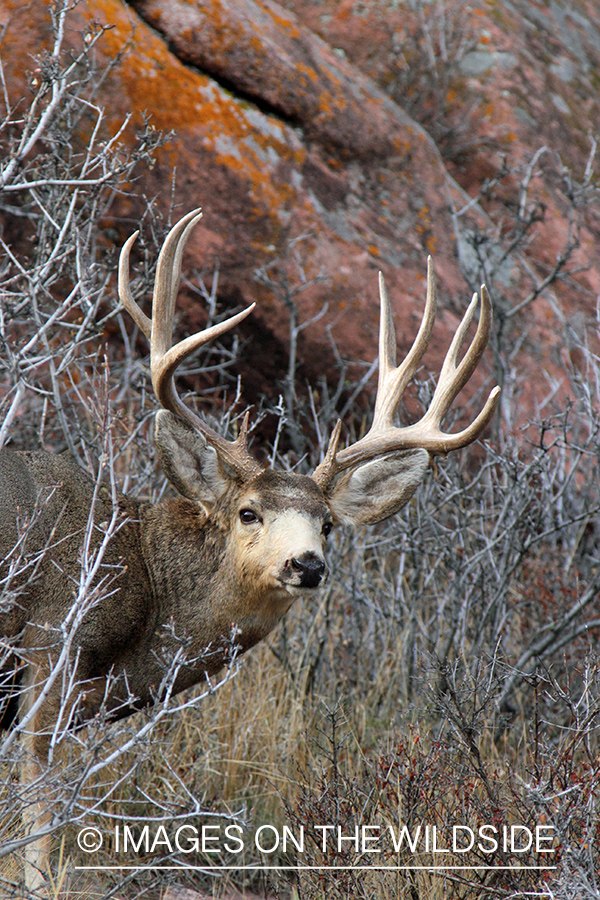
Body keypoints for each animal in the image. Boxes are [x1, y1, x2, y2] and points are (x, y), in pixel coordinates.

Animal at [0, 208, 500, 890]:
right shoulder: (52, 645)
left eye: (328, 524)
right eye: (248, 512)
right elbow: (39, 800)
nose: (306, 564)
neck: (141, 571)